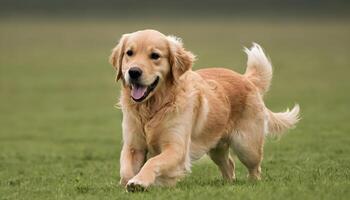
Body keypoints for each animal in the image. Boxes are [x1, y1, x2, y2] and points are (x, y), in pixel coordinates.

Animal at [108, 28, 300, 191]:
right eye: (129, 53)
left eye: (155, 55)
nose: (133, 72)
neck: (153, 108)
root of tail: (246, 79)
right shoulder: (133, 146)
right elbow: (125, 169)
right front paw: (129, 182)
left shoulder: (176, 148)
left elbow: (153, 162)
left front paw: (140, 182)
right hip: (216, 147)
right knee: (229, 165)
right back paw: (228, 185)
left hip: (247, 146)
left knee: (255, 169)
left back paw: (252, 184)